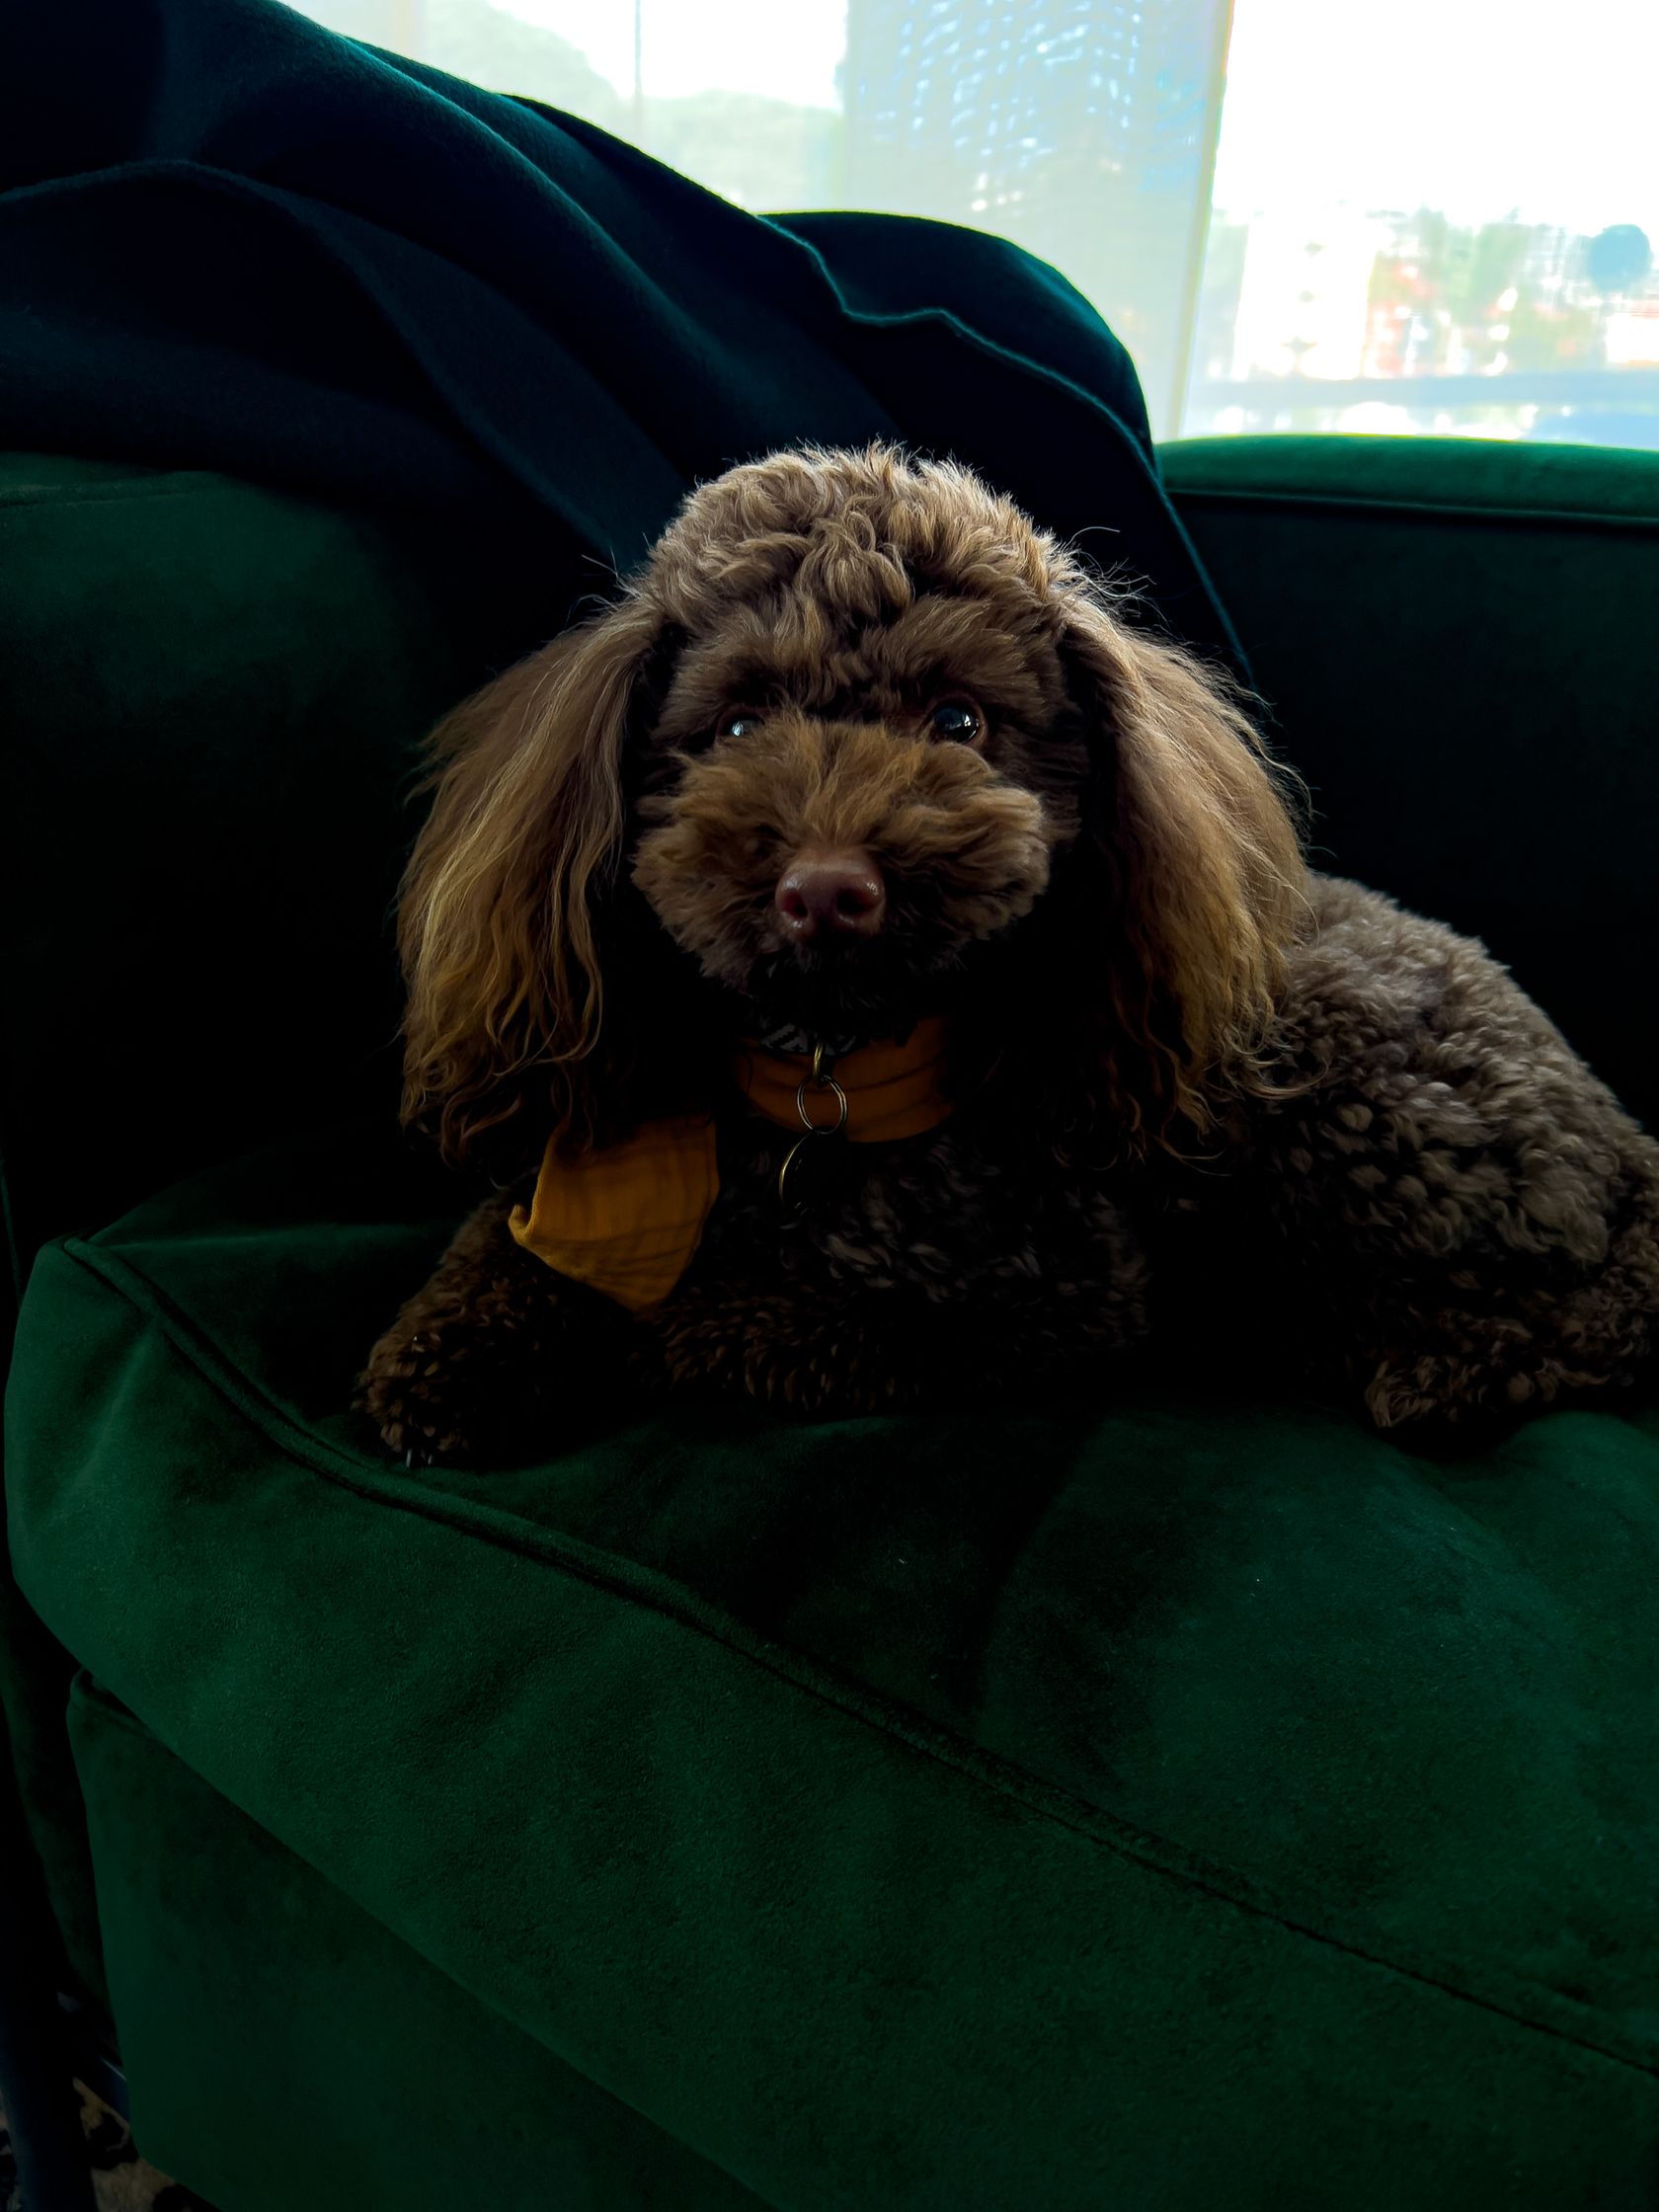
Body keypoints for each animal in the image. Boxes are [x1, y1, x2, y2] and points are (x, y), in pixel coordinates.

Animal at [357, 443, 1659, 1466]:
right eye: (733, 724)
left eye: (959, 721)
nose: (828, 889)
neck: (825, 1080)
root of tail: (1620, 1128)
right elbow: (501, 1249)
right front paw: (447, 1361)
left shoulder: (1066, 1293)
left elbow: (770, 1324)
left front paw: (674, 1328)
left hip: (1347, 1090)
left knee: (1589, 1309)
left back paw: (1434, 1360)